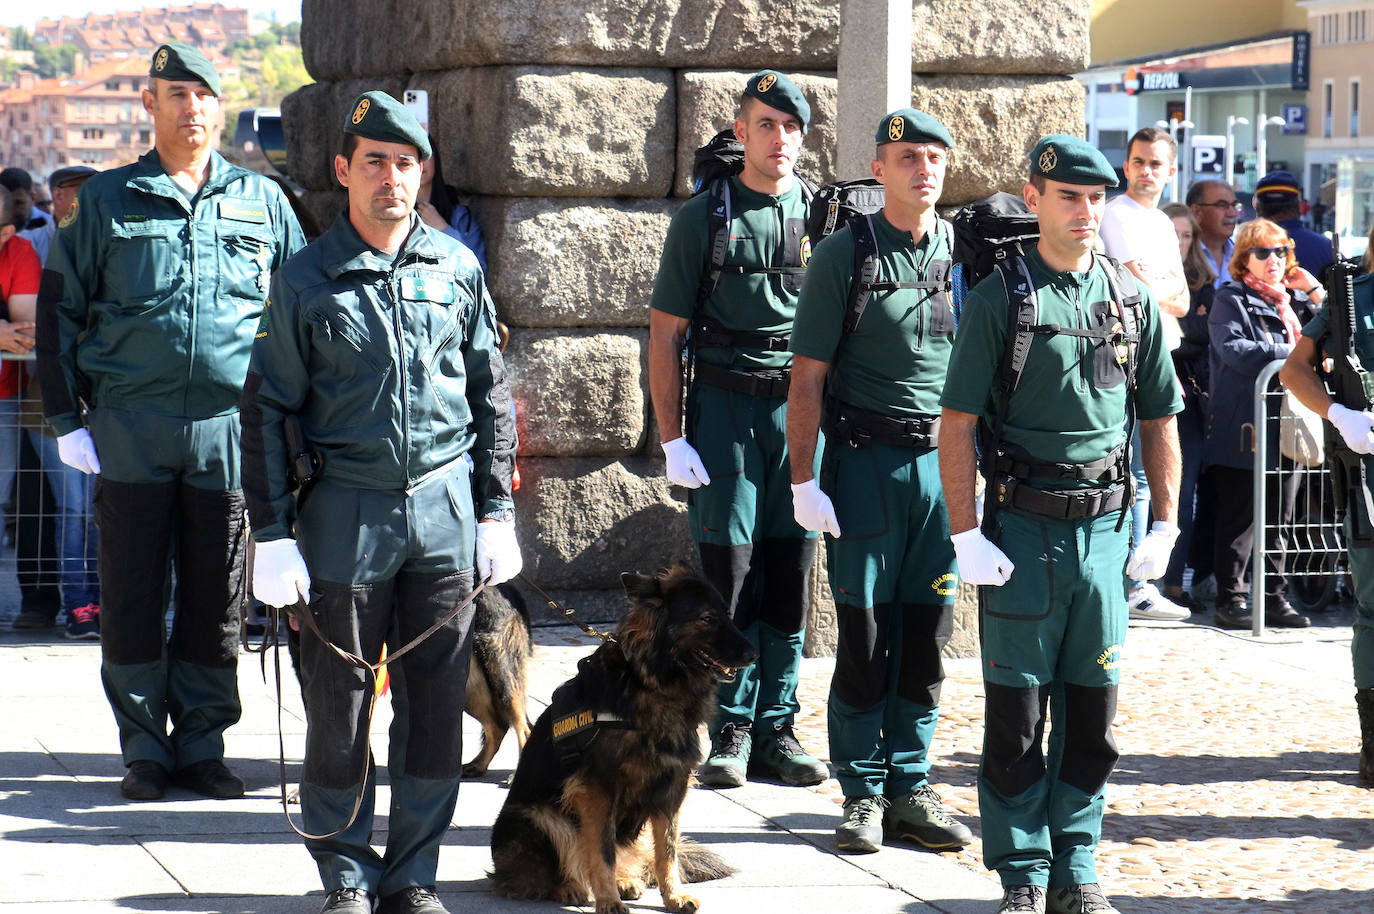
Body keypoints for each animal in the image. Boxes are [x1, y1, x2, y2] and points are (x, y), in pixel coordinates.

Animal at [489, 566, 758, 907]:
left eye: (726, 614)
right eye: (707, 618)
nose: (754, 654)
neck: (652, 683)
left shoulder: (672, 788)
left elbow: (666, 851)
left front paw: (672, 897)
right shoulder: (598, 789)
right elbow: (601, 852)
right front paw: (608, 902)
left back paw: (624, 881)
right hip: (540, 816)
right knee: (543, 873)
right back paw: (569, 887)